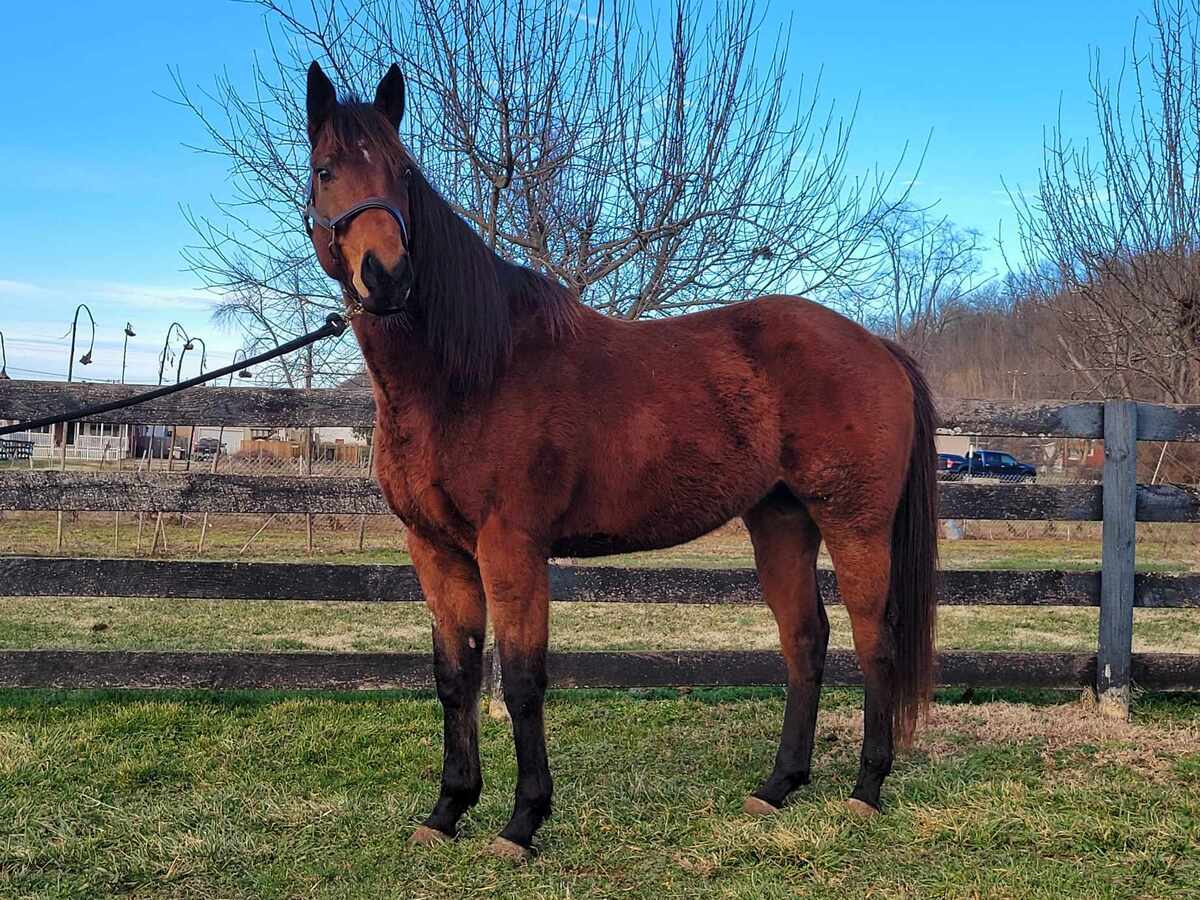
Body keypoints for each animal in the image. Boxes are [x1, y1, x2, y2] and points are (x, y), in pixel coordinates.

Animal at [302, 61, 939, 861]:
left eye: (404, 174)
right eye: (326, 170)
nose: (387, 275)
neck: (470, 371)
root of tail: (876, 345)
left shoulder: (511, 546)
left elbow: (521, 680)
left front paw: (522, 822)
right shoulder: (435, 550)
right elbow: (456, 678)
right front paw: (448, 810)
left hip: (855, 524)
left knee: (873, 641)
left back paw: (866, 790)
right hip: (781, 521)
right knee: (805, 641)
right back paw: (778, 787)